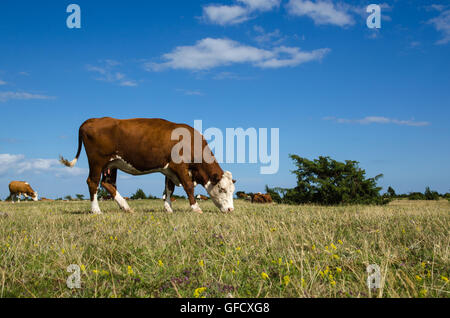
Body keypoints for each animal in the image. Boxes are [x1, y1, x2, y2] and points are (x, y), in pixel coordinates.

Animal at [61, 118, 237, 215]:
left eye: (232, 191)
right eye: (222, 189)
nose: (230, 210)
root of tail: (93, 120)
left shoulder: (169, 169)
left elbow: (169, 189)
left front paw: (168, 208)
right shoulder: (179, 166)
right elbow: (188, 187)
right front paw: (195, 208)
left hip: (111, 164)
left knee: (107, 184)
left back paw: (126, 207)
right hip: (97, 162)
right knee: (93, 182)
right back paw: (96, 210)